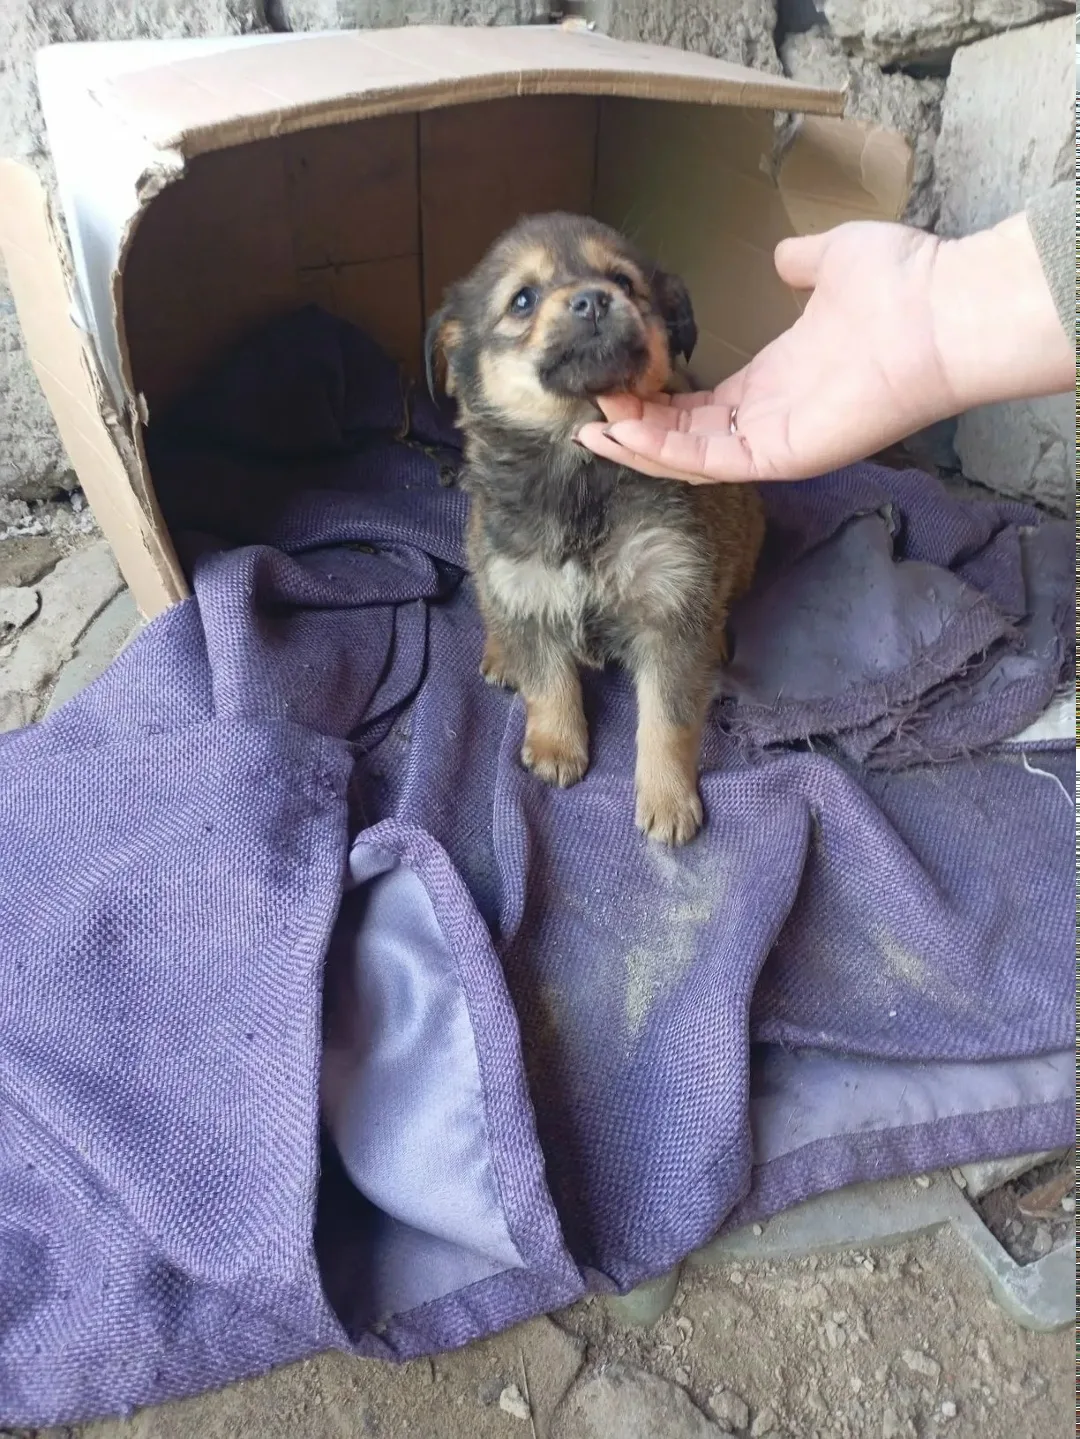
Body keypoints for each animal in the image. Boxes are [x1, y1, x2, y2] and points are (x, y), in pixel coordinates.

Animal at [426, 213, 764, 846]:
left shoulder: (672, 601)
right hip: (483, 548)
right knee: (490, 603)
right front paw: (556, 747)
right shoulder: (526, 584)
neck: (580, 466)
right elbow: (548, 681)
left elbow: (668, 718)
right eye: (523, 299)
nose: (592, 299)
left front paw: (668, 800)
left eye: (624, 281)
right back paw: (501, 653)